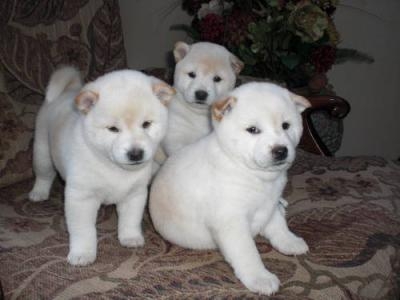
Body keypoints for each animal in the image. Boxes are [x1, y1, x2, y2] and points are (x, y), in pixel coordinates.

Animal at [28, 67, 176, 266]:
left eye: (146, 124)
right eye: (113, 129)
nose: (136, 153)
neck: (114, 168)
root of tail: (68, 91)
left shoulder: (135, 194)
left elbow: (130, 220)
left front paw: (130, 237)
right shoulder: (81, 198)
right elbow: (84, 230)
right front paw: (82, 253)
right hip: (43, 151)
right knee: (44, 174)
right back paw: (39, 193)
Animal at [150, 82, 310, 296]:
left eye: (286, 125)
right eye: (253, 129)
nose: (281, 150)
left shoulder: (269, 205)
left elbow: (278, 226)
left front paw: (289, 241)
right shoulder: (231, 223)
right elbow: (247, 252)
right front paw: (260, 277)